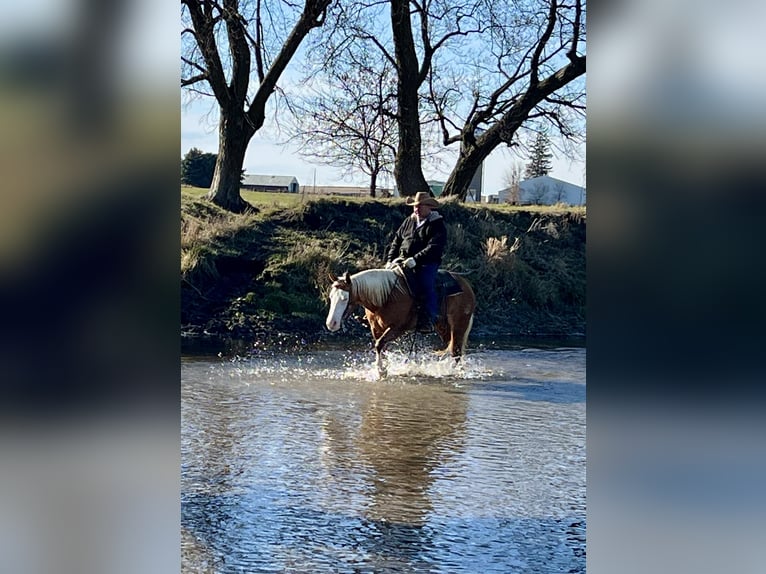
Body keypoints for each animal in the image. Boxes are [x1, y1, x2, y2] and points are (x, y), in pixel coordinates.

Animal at [328, 268, 476, 380]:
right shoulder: (376, 329)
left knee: (456, 351)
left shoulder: (397, 328)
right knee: (453, 349)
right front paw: (384, 368)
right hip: (443, 327)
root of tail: (466, 285)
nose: (331, 323)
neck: (387, 296)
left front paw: (381, 371)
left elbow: (379, 345)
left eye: (344, 298)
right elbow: (381, 348)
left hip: (458, 325)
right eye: (330, 296)